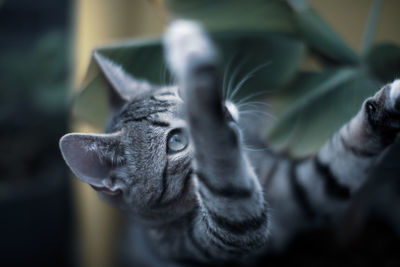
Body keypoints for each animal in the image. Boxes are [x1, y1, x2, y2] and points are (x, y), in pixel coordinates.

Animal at [58, 21, 400, 266]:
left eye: (181, 93)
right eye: (177, 141)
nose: (222, 109)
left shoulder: (304, 191)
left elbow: (348, 152)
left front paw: (389, 102)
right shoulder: (229, 230)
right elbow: (222, 162)